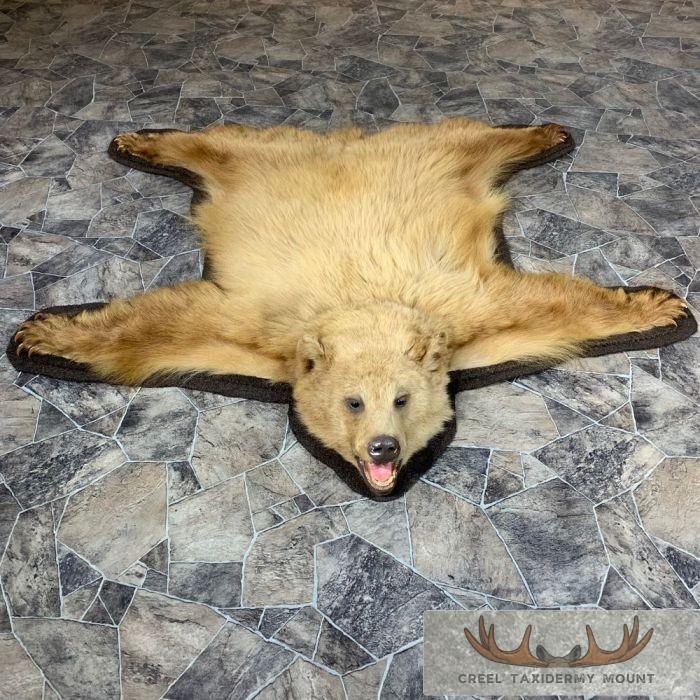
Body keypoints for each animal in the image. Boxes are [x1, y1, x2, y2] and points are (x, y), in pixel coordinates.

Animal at [14, 118, 687, 495]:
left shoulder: (466, 311)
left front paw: (660, 306)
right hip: (265, 162)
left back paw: (544, 133)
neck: (359, 304)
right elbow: (162, 327)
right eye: (353, 402)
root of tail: (344, 144)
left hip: (436, 162)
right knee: (219, 144)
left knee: (474, 139)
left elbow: (548, 306)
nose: (383, 450)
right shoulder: (262, 327)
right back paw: (139, 140)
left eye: (403, 399)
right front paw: (41, 334)